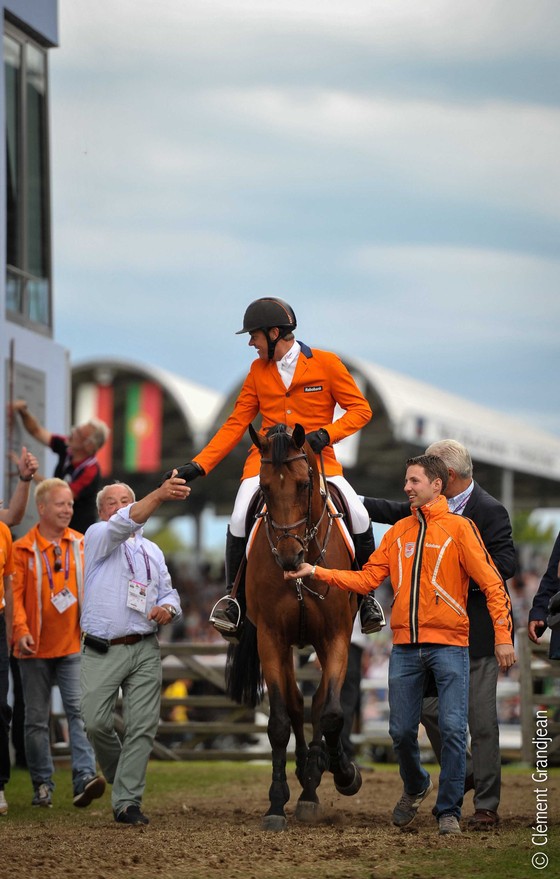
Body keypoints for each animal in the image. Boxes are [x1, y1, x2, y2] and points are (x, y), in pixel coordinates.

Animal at [224, 422, 360, 828]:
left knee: (317, 704)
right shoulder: (272, 639)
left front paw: (342, 772)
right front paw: (275, 802)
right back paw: (304, 775)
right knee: (299, 705)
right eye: (265, 487)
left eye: (302, 484)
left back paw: (316, 777)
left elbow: (330, 713)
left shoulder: (335, 637)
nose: (289, 557)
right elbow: (280, 721)